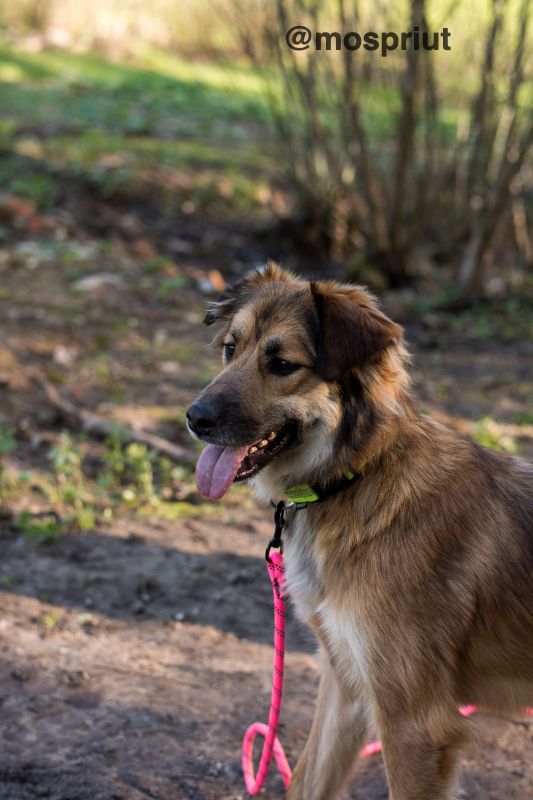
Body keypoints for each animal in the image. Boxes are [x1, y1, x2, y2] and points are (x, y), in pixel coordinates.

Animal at [186, 264, 532, 800]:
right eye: (230, 348)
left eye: (282, 364)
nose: (194, 418)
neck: (355, 477)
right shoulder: (346, 686)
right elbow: (305, 782)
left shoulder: (414, 724)